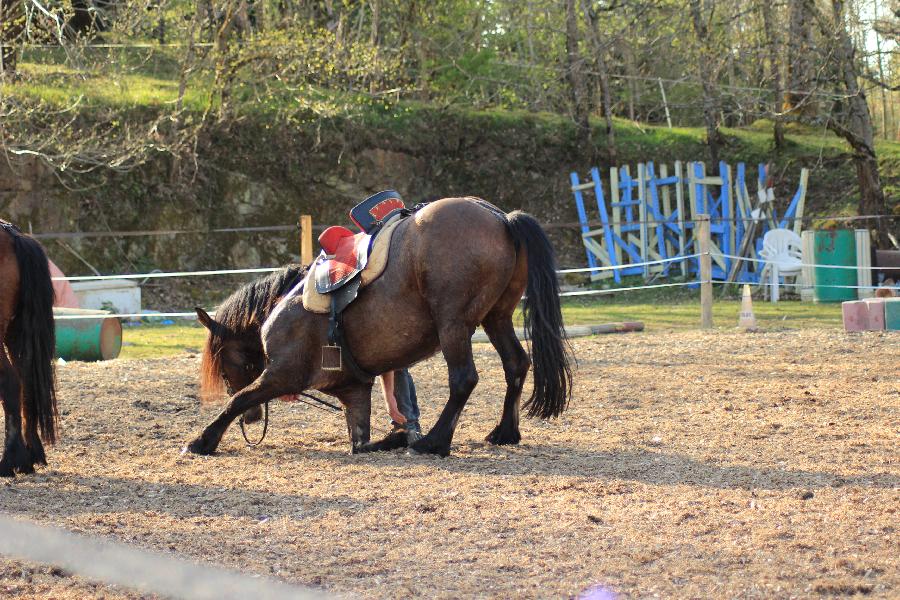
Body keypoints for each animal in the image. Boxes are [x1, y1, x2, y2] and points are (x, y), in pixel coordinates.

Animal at [188, 199, 576, 458]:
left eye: (226, 364)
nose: (253, 421)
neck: (287, 302)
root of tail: (500, 217)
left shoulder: (283, 373)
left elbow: (239, 398)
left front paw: (203, 440)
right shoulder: (355, 391)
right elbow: (361, 440)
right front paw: (394, 437)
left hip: (453, 323)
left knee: (464, 378)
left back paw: (434, 442)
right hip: (496, 318)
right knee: (516, 364)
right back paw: (505, 432)